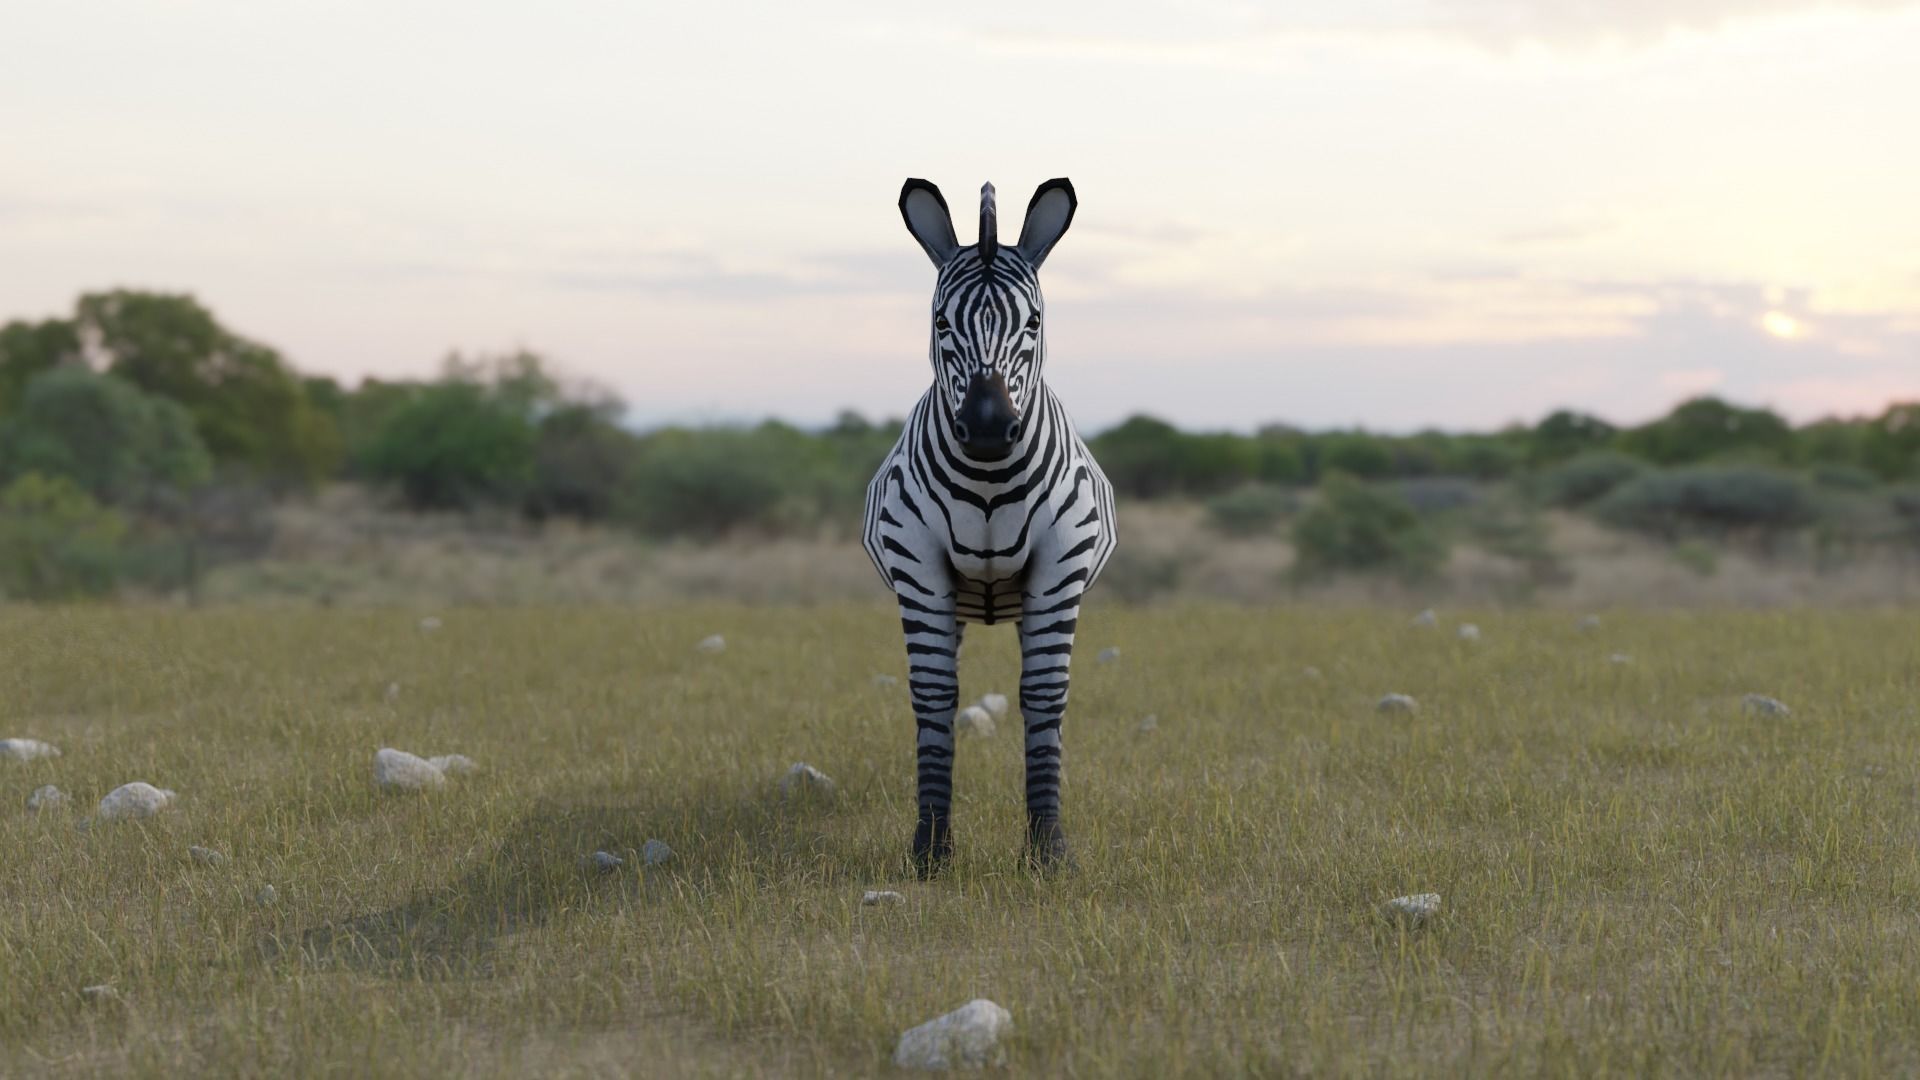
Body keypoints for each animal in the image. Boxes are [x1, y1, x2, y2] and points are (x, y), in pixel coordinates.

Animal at [862, 177, 1117, 876]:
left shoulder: (1060, 566)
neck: (987, 481)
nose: (984, 429)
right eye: (941, 322)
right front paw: (931, 849)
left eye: (1033, 322)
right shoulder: (918, 566)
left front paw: (1049, 849)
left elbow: (1044, 695)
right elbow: (933, 695)